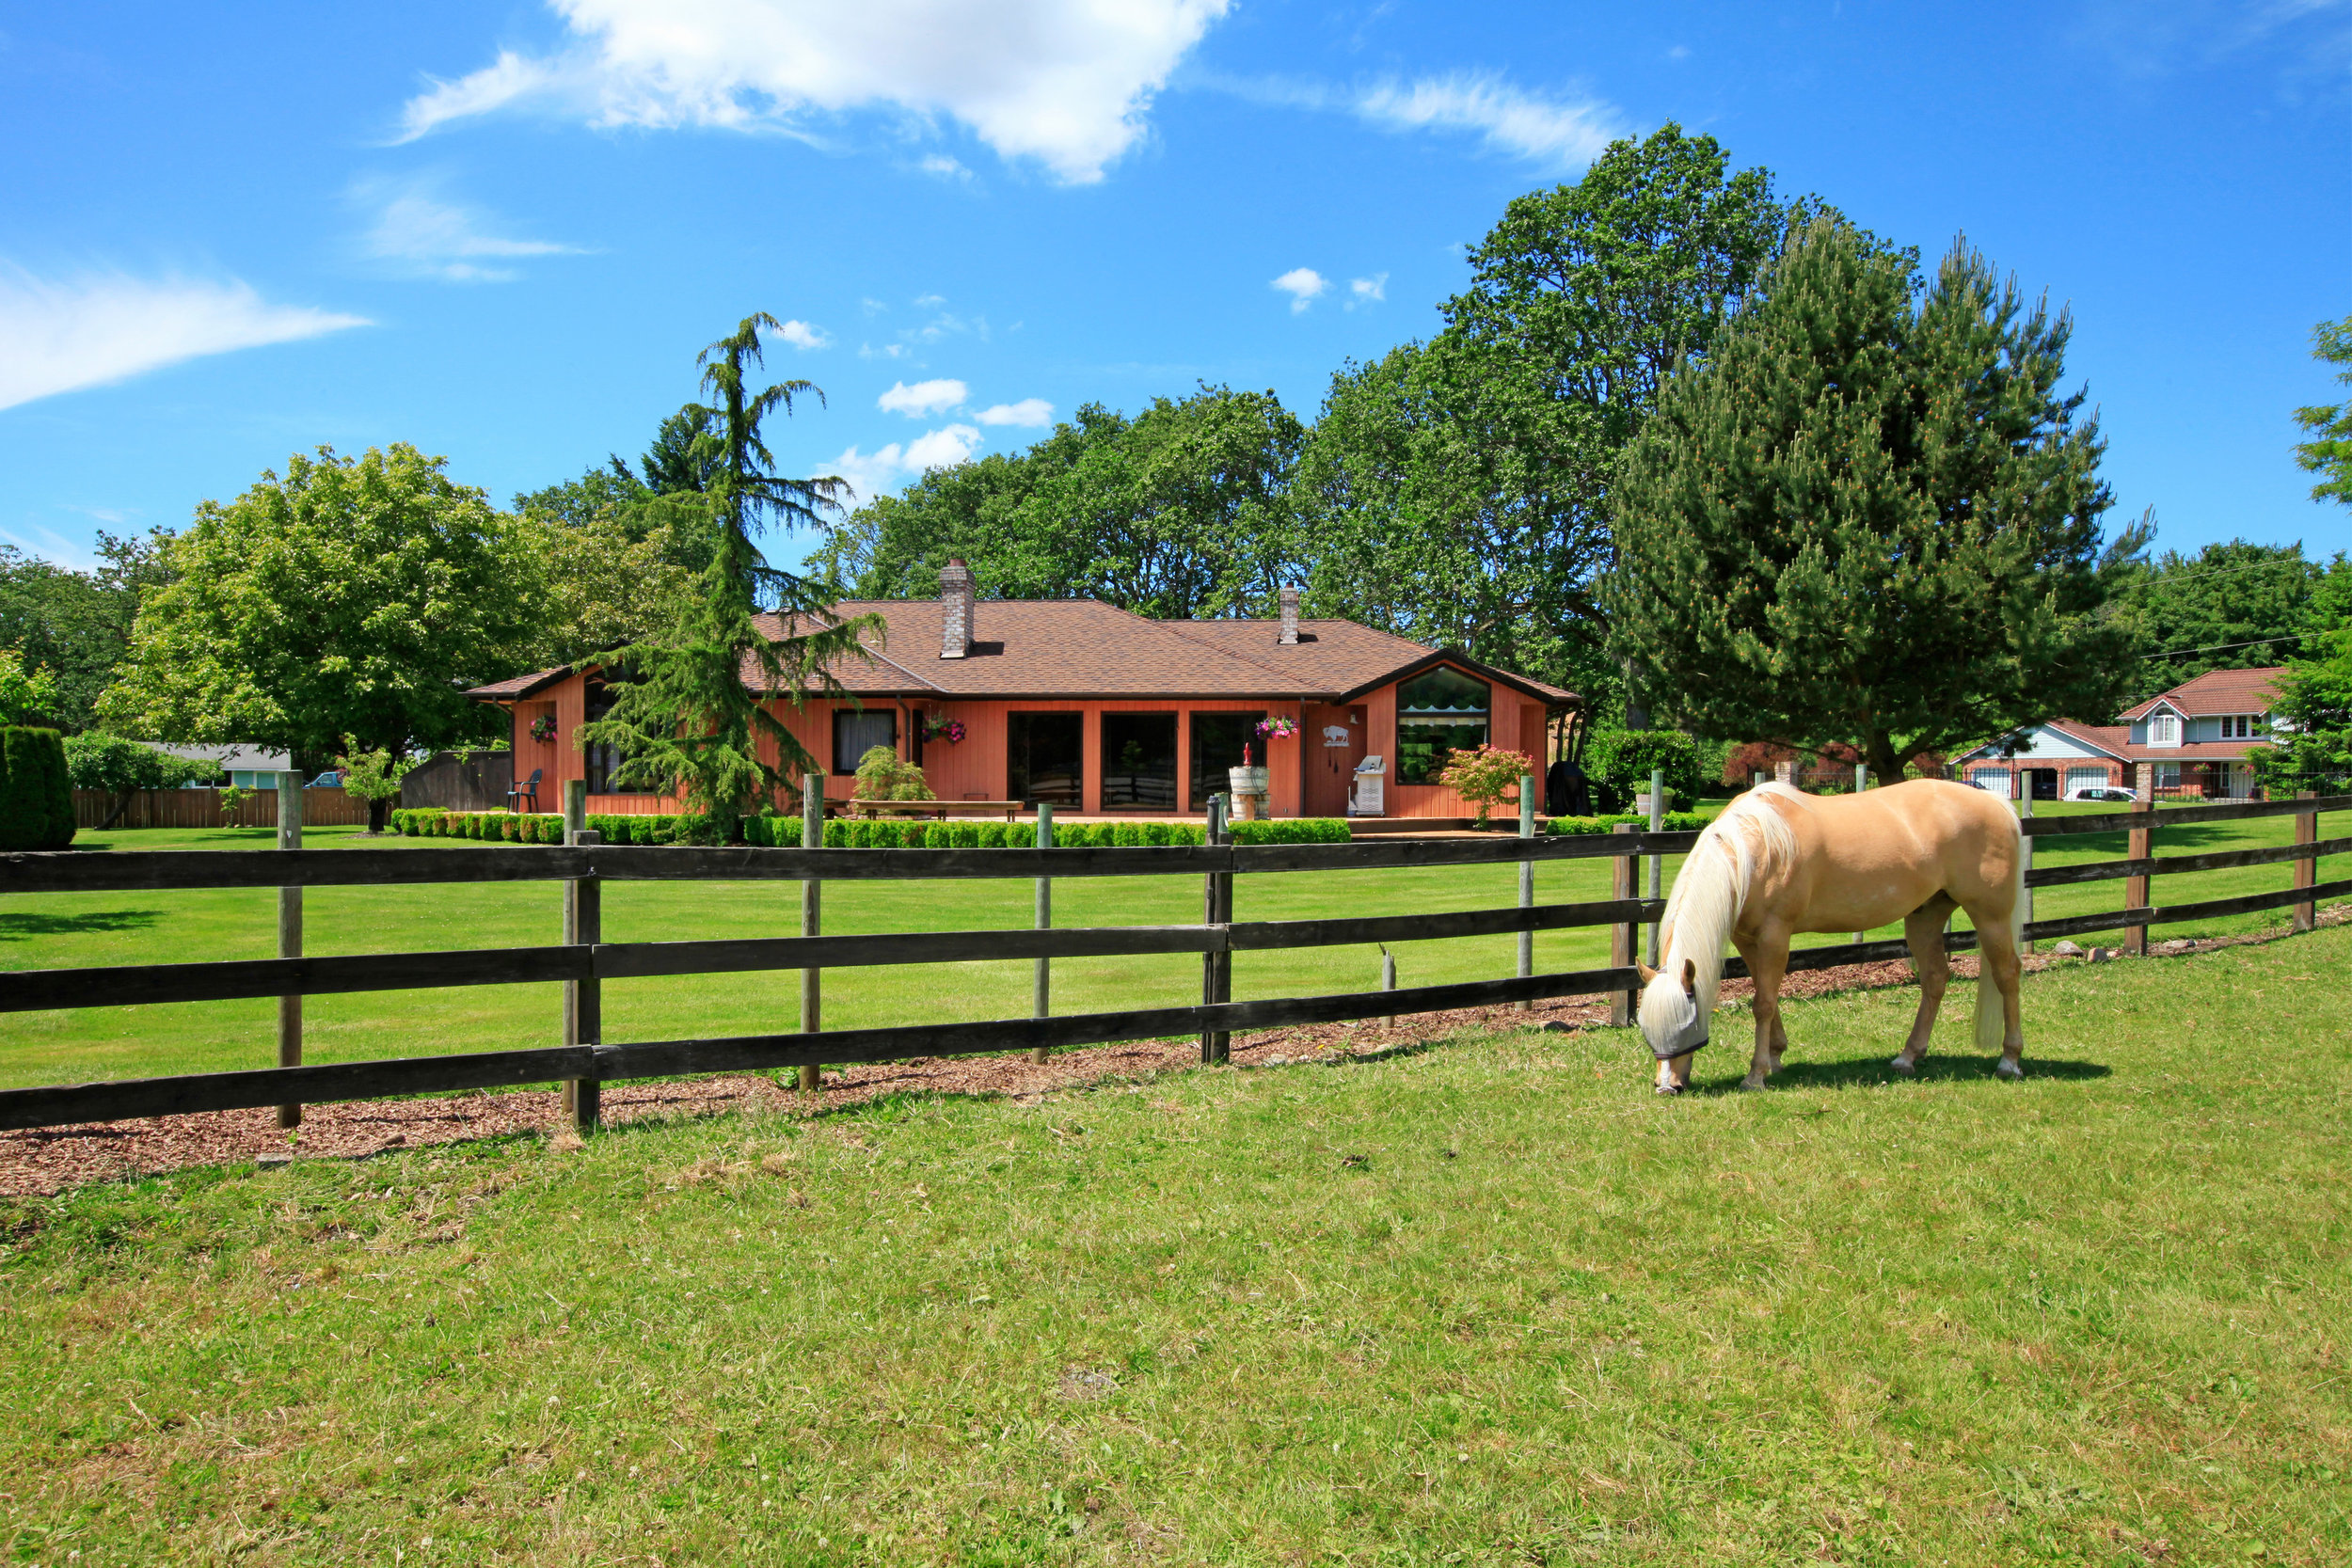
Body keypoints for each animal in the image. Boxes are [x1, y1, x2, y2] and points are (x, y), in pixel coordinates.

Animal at [1637, 780, 2023, 1090]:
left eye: (1686, 1024)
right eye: (1645, 1028)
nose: (1667, 1086)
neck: (1752, 850)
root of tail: (1996, 803)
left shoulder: (1776, 936)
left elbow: (1763, 1003)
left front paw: (1756, 1075)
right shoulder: (1747, 939)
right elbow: (1765, 994)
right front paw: (1775, 1057)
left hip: (1990, 916)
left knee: (2007, 975)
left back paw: (2010, 1060)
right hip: (1925, 916)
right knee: (1935, 979)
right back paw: (1907, 1057)